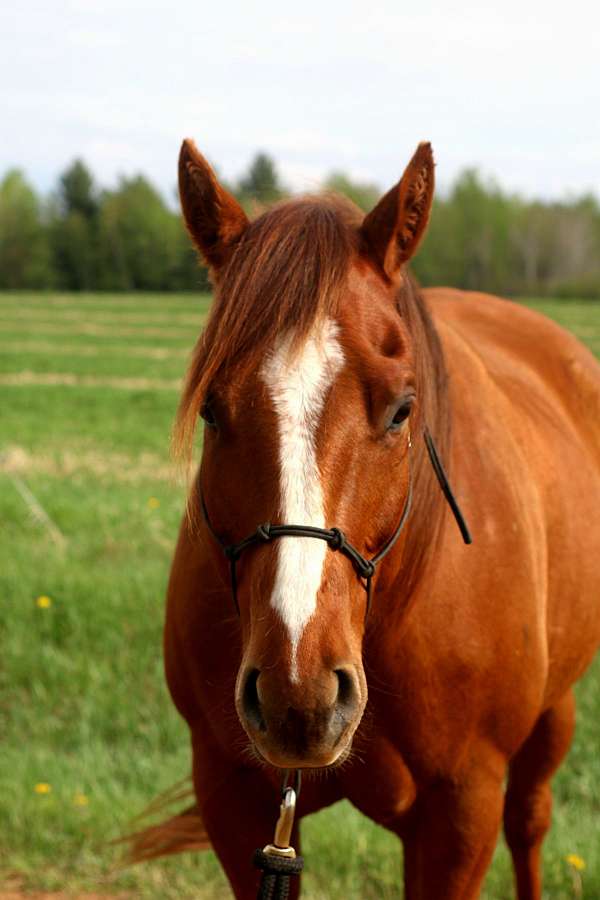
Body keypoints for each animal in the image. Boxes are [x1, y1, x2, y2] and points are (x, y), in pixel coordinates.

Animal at [139, 139, 600, 899]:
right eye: (211, 410)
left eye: (402, 408)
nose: (298, 691)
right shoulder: (236, 799)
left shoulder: (461, 811)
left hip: (550, 716)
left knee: (530, 823)